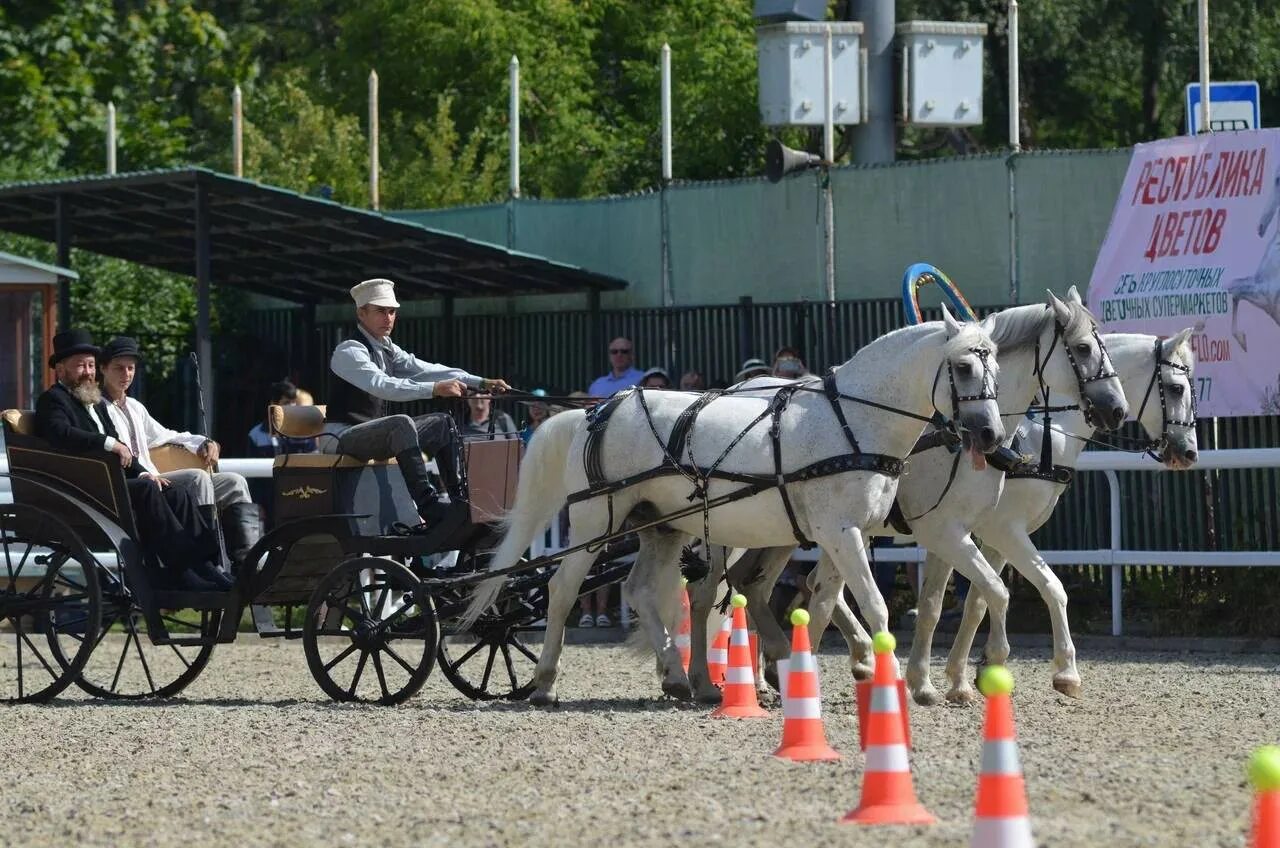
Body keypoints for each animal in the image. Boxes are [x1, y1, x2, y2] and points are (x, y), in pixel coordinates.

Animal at [463, 308, 1008, 707]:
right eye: (963, 366)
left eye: (996, 369)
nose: (990, 435)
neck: (853, 421)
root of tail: (594, 411)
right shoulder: (841, 533)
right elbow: (872, 605)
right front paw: (893, 680)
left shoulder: (845, 535)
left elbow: (824, 603)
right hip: (596, 520)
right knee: (561, 589)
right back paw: (545, 683)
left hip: (662, 527)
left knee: (642, 589)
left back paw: (682, 679)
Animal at [640, 292, 1131, 701]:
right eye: (1083, 348)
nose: (1116, 410)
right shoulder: (951, 530)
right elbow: (985, 594)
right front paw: (965, 675)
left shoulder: (972, 532)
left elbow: (972, 599)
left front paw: (947, 679)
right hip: (737, 530)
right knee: (706, 594)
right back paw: (706, 679)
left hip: (779, 532)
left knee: (757, 586)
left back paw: (775, 672)